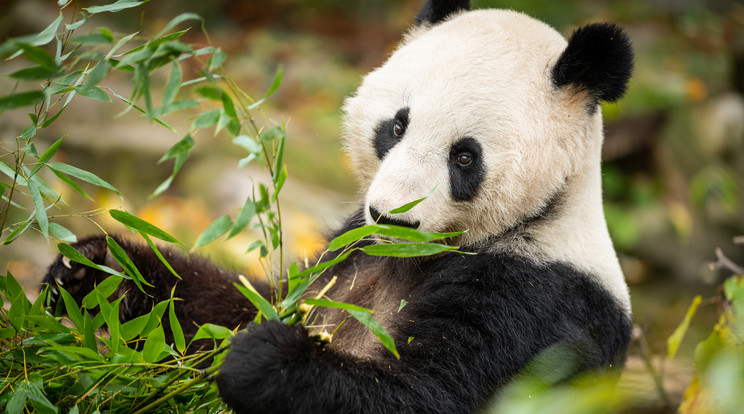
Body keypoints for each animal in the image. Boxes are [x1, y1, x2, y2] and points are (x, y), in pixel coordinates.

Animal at [40, 1, 632, 412]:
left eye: (465, 157)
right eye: (397, 126)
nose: (393, 218)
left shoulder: (535, 299)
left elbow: (426, 391)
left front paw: (266, 360)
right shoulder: (348, 249)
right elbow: (236, 308)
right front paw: (94, 269)